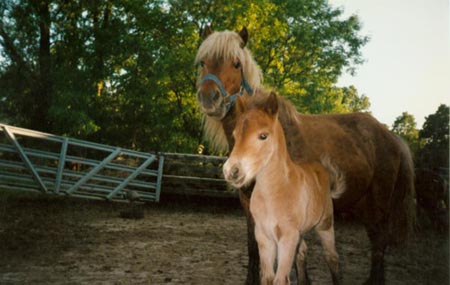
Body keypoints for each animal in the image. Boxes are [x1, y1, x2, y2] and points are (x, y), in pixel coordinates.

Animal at [223, 91, 340, 284]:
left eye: (263, 136)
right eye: (235, 135)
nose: (231, 170)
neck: (275, 192)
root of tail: (322, 169)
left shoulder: (288, 238)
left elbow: (280, 279)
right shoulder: (264, 237)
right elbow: (268, 277)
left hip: (325, 226)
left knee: (332, 258)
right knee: (303, 252)